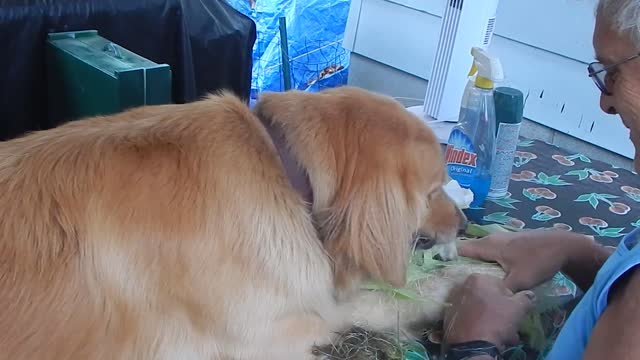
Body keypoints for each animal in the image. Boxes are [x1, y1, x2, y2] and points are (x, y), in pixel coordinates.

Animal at [0, 86, 464, 358]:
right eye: (433, 191)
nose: (463, 224)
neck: (283, 166)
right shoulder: (265, 336)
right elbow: (364, 304)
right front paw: (453, 284)